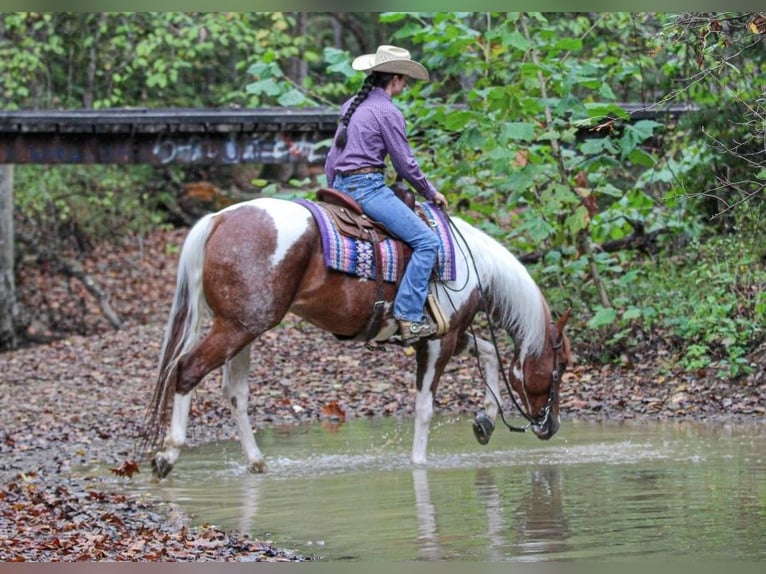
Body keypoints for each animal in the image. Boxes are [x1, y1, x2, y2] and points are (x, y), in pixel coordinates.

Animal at [143, 194, 572, 478]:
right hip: (236, 328)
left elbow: (487, 353)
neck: (471, 265)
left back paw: (256, 462)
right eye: (561, 367)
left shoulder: (448, 334)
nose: (551, 427)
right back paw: (167, 456)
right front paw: (419, 464)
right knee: (187, 370)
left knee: (235, 393)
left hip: (244, 328)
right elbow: (425, 407)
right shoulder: (438, 342)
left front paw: (484, 421)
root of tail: (218, 219)